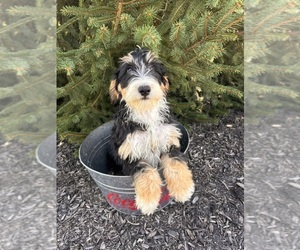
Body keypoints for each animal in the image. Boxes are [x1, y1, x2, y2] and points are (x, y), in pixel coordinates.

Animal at [108, 47, 195, 215]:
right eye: (128, 70)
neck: (146, 112)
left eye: (153, 69)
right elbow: (146, 171)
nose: (144, 89)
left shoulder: (169, 141)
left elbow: (175, 163)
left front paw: (183, 188)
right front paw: (148, 201)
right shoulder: (129, 152)